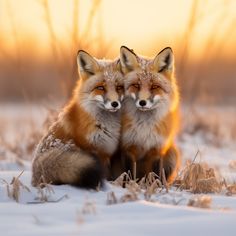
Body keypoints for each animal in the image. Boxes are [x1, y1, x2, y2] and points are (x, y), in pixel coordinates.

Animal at [118, 45, 181, 183]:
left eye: (154, 87)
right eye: (136, 85)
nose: (142, 102)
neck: (144, 126)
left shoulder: (157, 149)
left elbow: (155, 175)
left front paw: (157, 187)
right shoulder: (128, 148)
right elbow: (129, 174)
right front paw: (130, 185)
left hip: (172, 153)